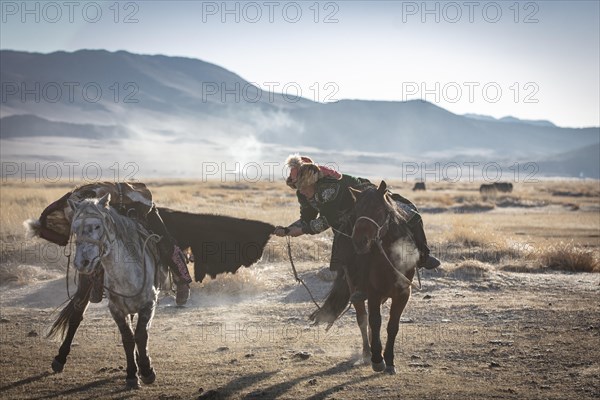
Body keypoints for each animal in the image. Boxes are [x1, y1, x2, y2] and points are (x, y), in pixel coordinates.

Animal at [68, 193, 163, 388]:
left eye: (97, 226)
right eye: (74, 229)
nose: (82, 263)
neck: (126, 276)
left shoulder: (149, 304)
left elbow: (141, 335)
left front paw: (147, 371)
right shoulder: (116, 310)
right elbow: (128, 338)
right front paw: (132, 375)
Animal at [350, 181, 420, 376]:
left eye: (377, 209)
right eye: (357, 210)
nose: (359, 242)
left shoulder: (403, 293)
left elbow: (392, 326)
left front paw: (389, 361)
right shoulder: (373, 292)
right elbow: (375, 322)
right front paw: (377, 360)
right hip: (357, 293)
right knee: (363, 319)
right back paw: (367, 353)